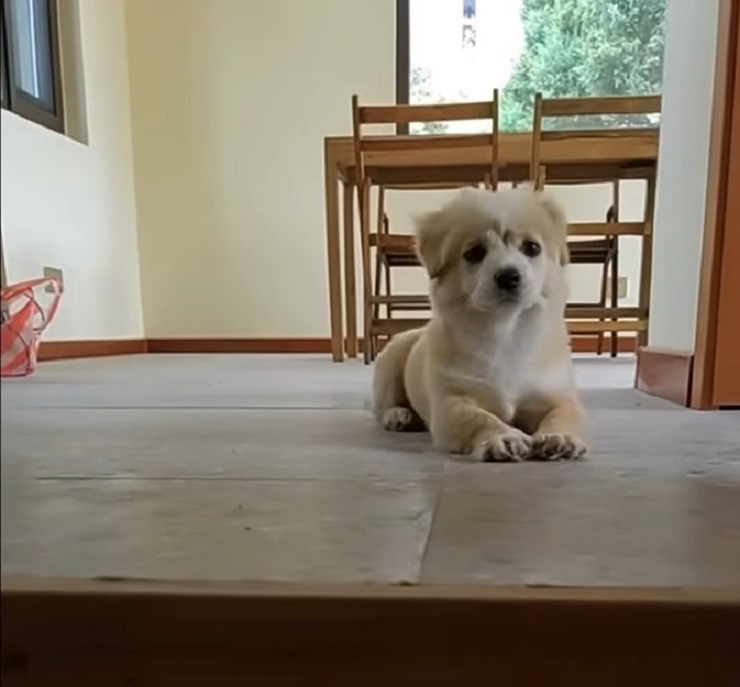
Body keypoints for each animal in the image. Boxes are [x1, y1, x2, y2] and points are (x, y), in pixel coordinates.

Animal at [372, 185, 588, 462]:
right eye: (474, 253)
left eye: (532, 247)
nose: (508, 276)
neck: (506, 330)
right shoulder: (452, 403)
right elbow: (479, 418)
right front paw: (504, 437)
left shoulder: (557, 396)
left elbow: (564, 414)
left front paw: (559, 437)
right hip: (389, 366)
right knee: (382, 407)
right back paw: (399, 415)